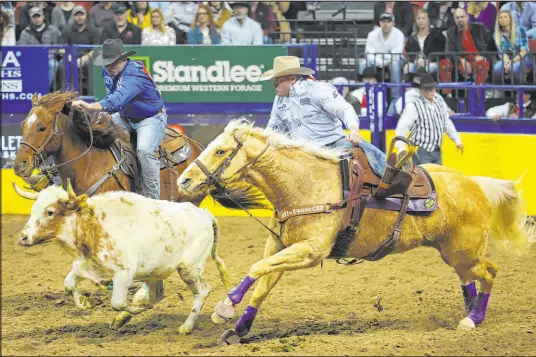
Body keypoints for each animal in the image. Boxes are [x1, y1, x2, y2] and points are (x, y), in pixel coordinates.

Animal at [178, 119, 532, 342]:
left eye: (221, 151)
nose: (184, 180)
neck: (307, 186)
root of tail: (476, 184)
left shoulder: (310, 252)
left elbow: (256, 268)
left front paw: (224, 308)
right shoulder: (280, 247)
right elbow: (263, 283)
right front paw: (238, 328)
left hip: (464, 251)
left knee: (490, 272)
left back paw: (473, 319)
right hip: (453, 251)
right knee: (469, 279)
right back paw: (469, 312)